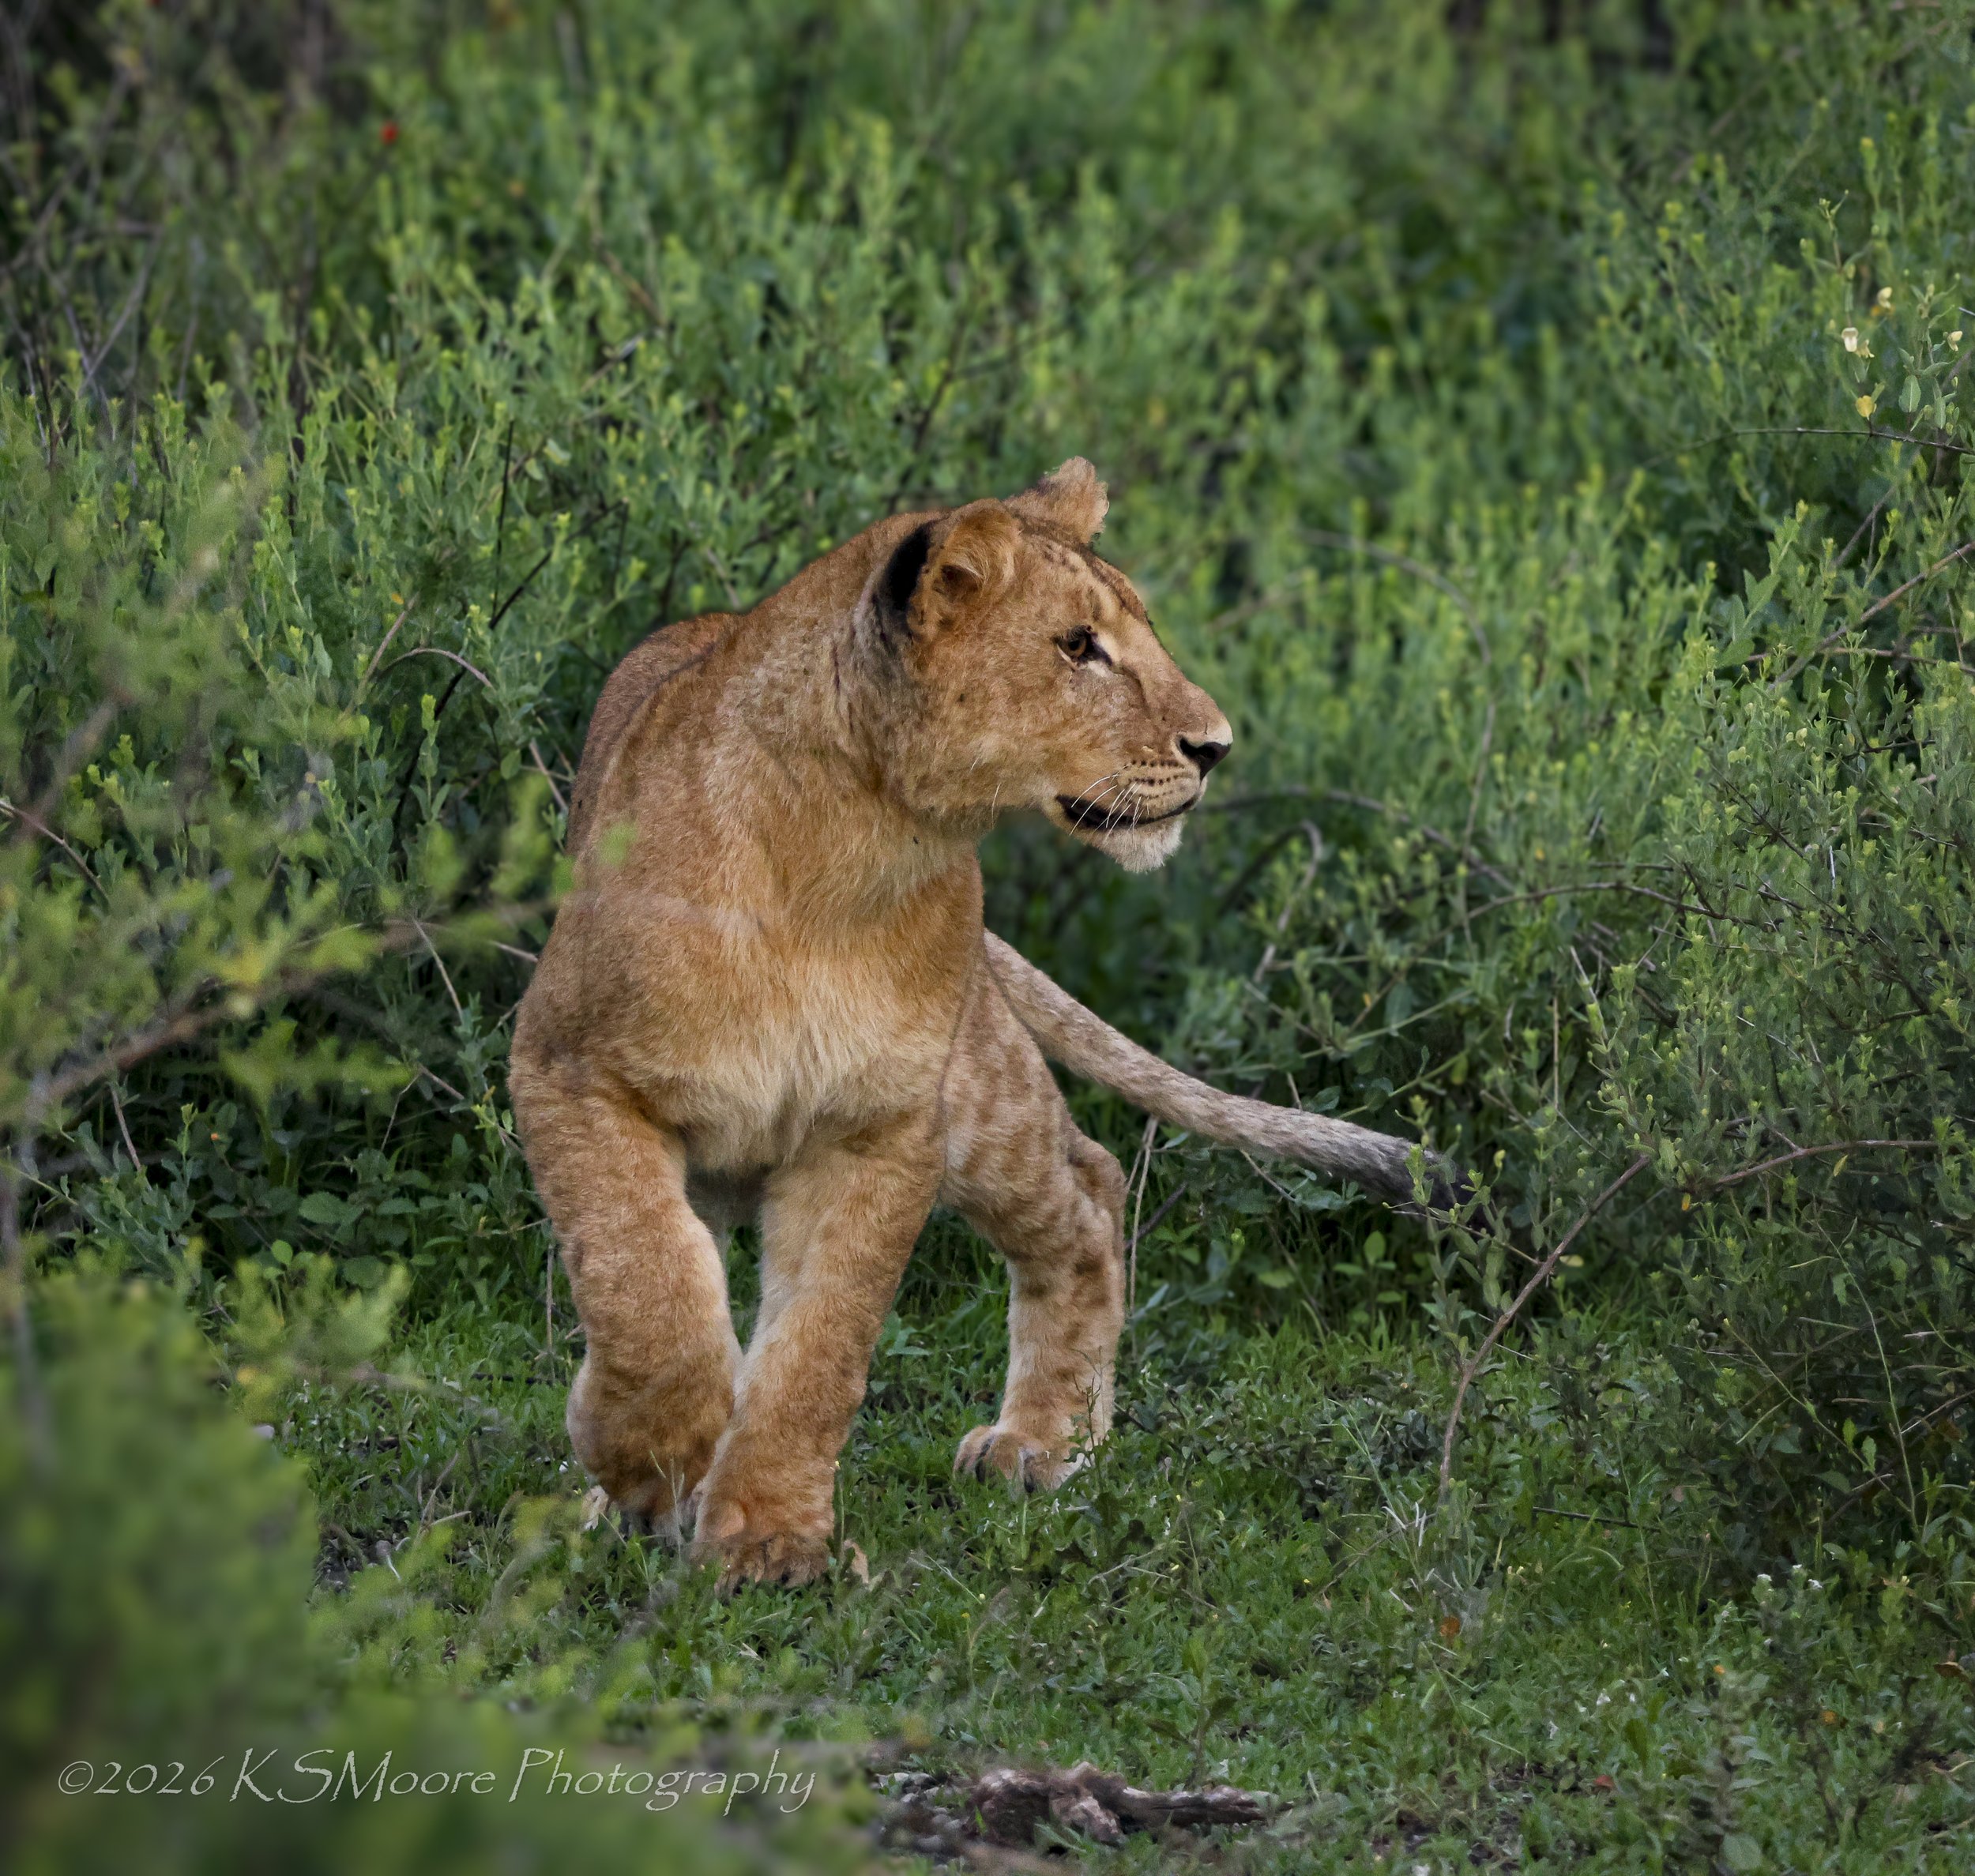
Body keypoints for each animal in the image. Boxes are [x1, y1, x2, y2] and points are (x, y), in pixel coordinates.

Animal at [509, 459, 1436, 1589]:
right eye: (1078, 647)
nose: (1216, 746)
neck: (845, 855)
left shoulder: (880, 1126)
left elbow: (817, 1348)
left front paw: (767, 1540)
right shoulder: (565, 1069)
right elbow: (643, 1284)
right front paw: (655, 1460)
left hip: (976, 1087)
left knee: (1088, 1186)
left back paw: (1043, 1443)